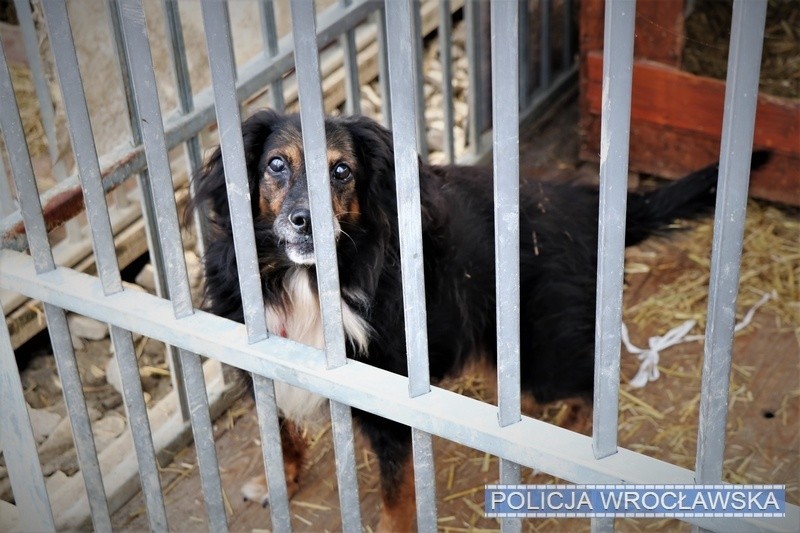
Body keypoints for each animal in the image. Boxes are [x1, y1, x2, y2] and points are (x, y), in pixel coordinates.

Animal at [189, 110, 764, 528]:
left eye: (341, 170)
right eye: (276, 165)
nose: (306, 221)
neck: (304, 282)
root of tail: (580, 206)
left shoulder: (392, 403)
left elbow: (396, 494)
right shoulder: (262, 358)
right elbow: (281, 435)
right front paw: (278, 483)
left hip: (542, 355)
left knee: (588, 393)